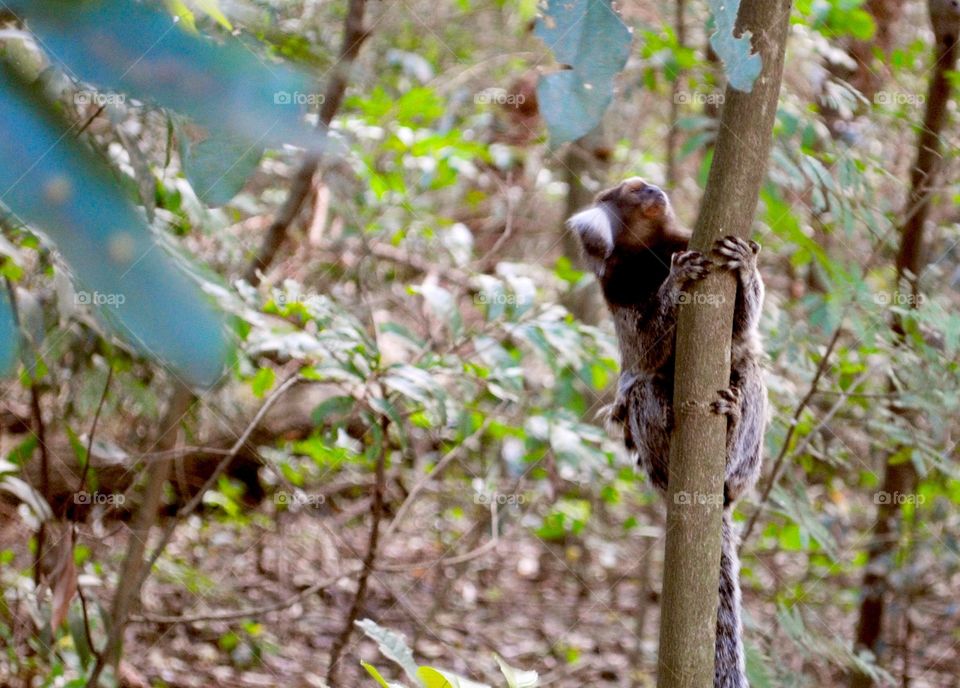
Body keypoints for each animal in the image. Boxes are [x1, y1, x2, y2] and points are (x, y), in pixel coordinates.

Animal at [567, 177, 766, 688]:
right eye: (633, 191)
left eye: (646, 185)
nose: (655, 188)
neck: (651, 250)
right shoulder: (618, 289)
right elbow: (645, 349)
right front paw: (676, 283)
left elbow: (741, 325)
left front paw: (746, 265)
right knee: (641, 389)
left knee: (748, 368)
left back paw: (732, 419)